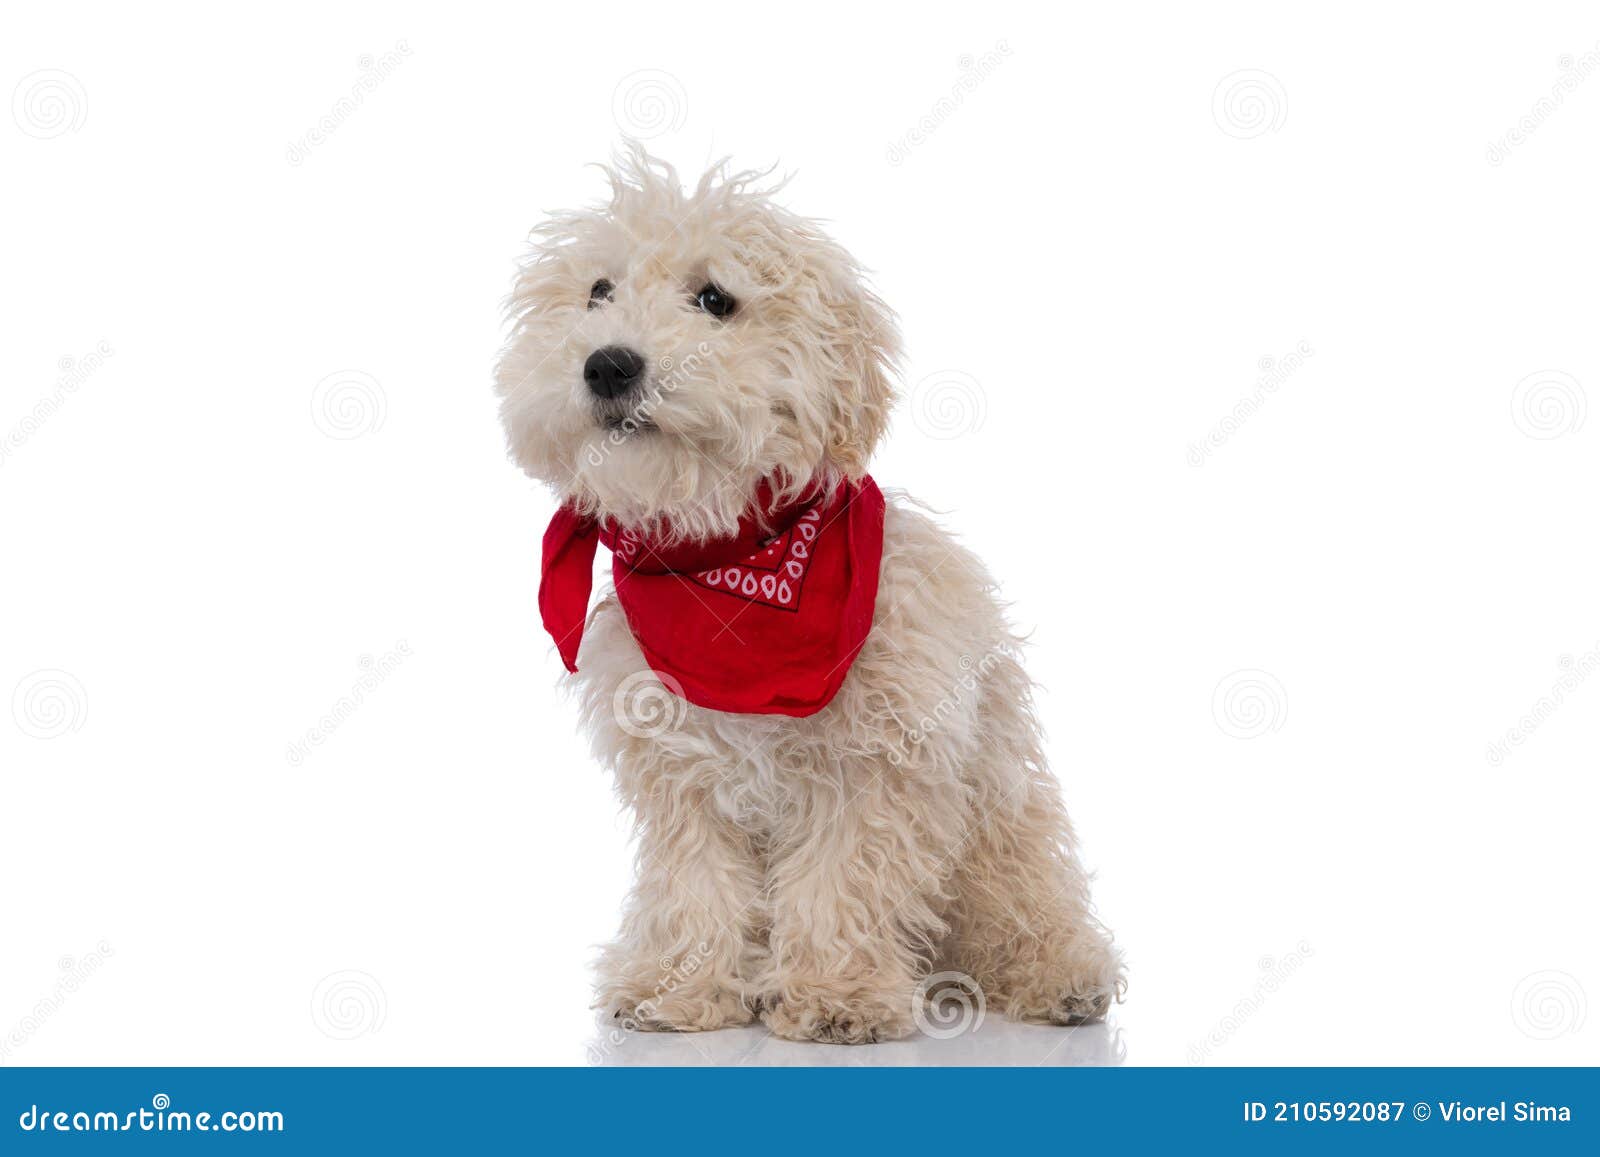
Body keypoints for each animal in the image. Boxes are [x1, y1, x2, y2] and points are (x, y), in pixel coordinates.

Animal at [492, 149, 1120, 1043]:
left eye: (715, 299)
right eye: (598, 290)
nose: (608, 363)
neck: (729, 572)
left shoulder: (877, 762)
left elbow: (842, 877)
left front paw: (837, 994)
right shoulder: (683, 773)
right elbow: (696, 883)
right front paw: (680, 985)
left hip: (1004, 822)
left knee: (1024, 907)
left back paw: (1056, 972)